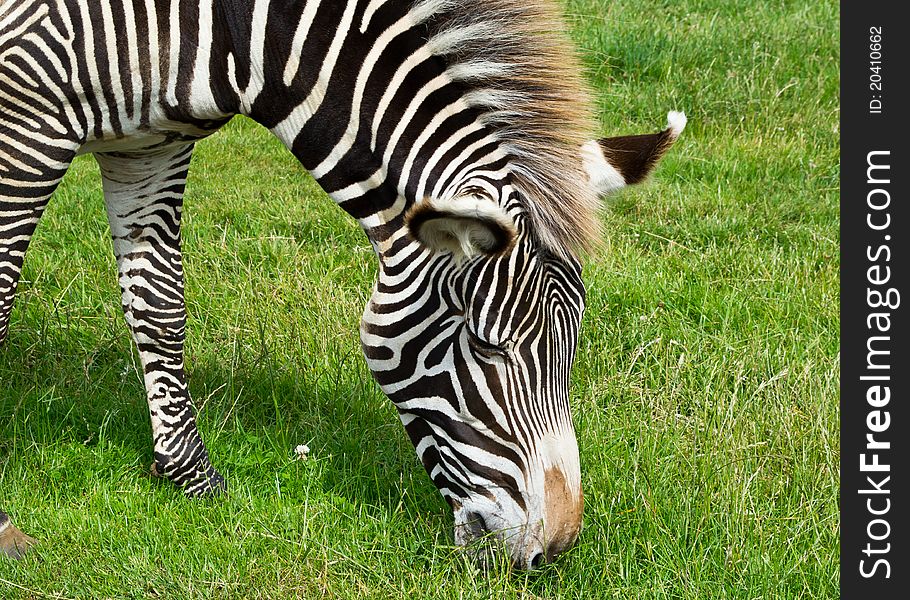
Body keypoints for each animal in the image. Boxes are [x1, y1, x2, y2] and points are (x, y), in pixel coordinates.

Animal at [1, 0, 684, 568]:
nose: (557, 547)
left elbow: (159, 305)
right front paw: (6, 525)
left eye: (573, 343)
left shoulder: (150, 146)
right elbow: (3, 298)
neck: (234, 28)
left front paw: (191, 478)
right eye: (488, 348)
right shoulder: (26, 115)